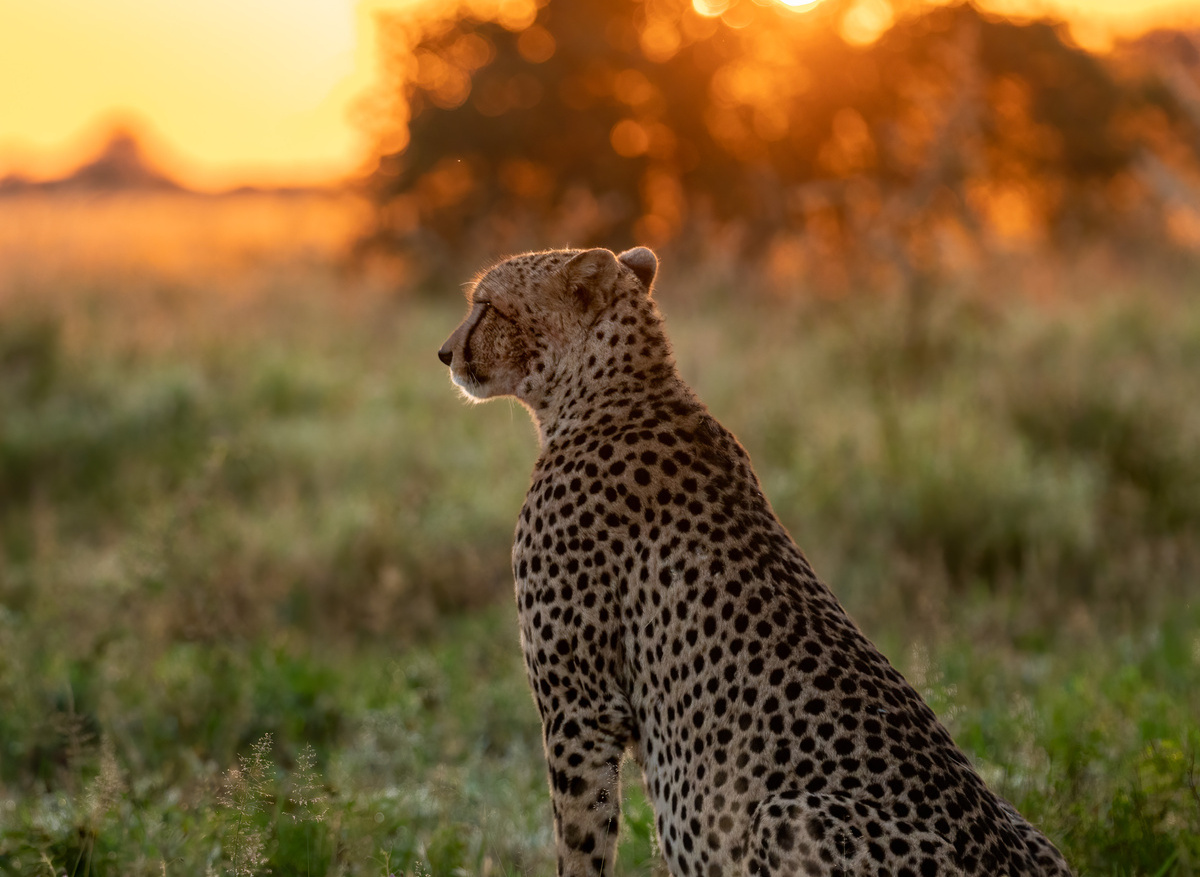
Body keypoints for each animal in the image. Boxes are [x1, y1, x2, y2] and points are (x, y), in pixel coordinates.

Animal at [437, 246, 1073, 877]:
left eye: (486, 305)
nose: (445, 352)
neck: (613, 391)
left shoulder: (581, 707)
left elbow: (581, 838)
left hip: (787, 814)